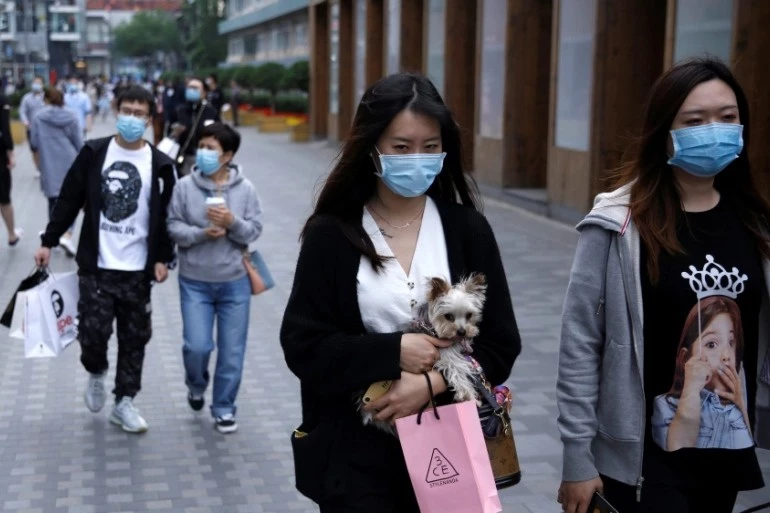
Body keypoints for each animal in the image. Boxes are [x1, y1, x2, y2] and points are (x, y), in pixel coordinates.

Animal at [358, 272, 486, 432]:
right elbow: (458, 370)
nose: (462, 332)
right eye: (448, 316)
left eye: (469, 315)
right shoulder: (446, 355)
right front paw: (469, 396)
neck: (433, 328)